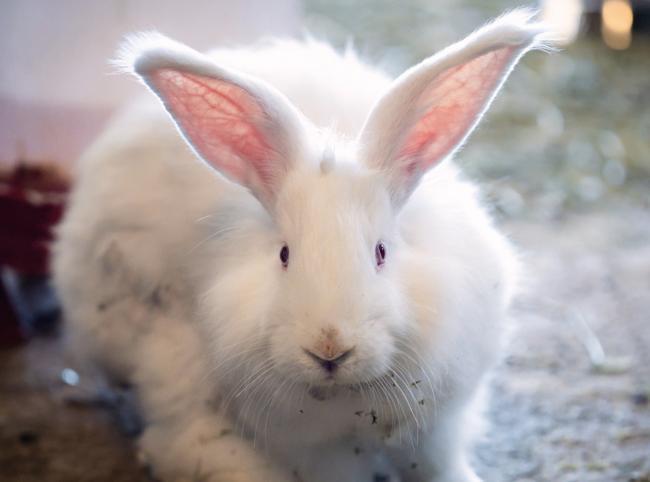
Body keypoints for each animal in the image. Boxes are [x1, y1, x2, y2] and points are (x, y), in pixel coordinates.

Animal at [53, 9, 550, 482]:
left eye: (381, 252)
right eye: (284, 255)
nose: (329, 348)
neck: (345, 402)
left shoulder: (439, 425)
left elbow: (435, 465)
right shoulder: (313, 452)